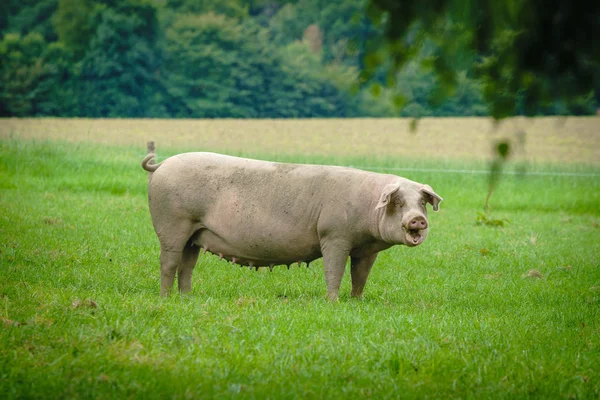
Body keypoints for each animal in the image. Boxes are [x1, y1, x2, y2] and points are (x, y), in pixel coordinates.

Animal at [141, 143, 440, 300]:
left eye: (422, 203)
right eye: (398, 202)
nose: (417, 220)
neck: (368, 207)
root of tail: (162, 165)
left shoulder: (366, 250)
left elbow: (361, 276)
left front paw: (356, 301)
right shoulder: (334, 235)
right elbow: (334, 270)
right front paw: (333, 302)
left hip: (195, 234)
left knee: (187, 265)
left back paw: (186, 297)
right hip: (173, 223)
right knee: (169, 262)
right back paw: (165, 298)